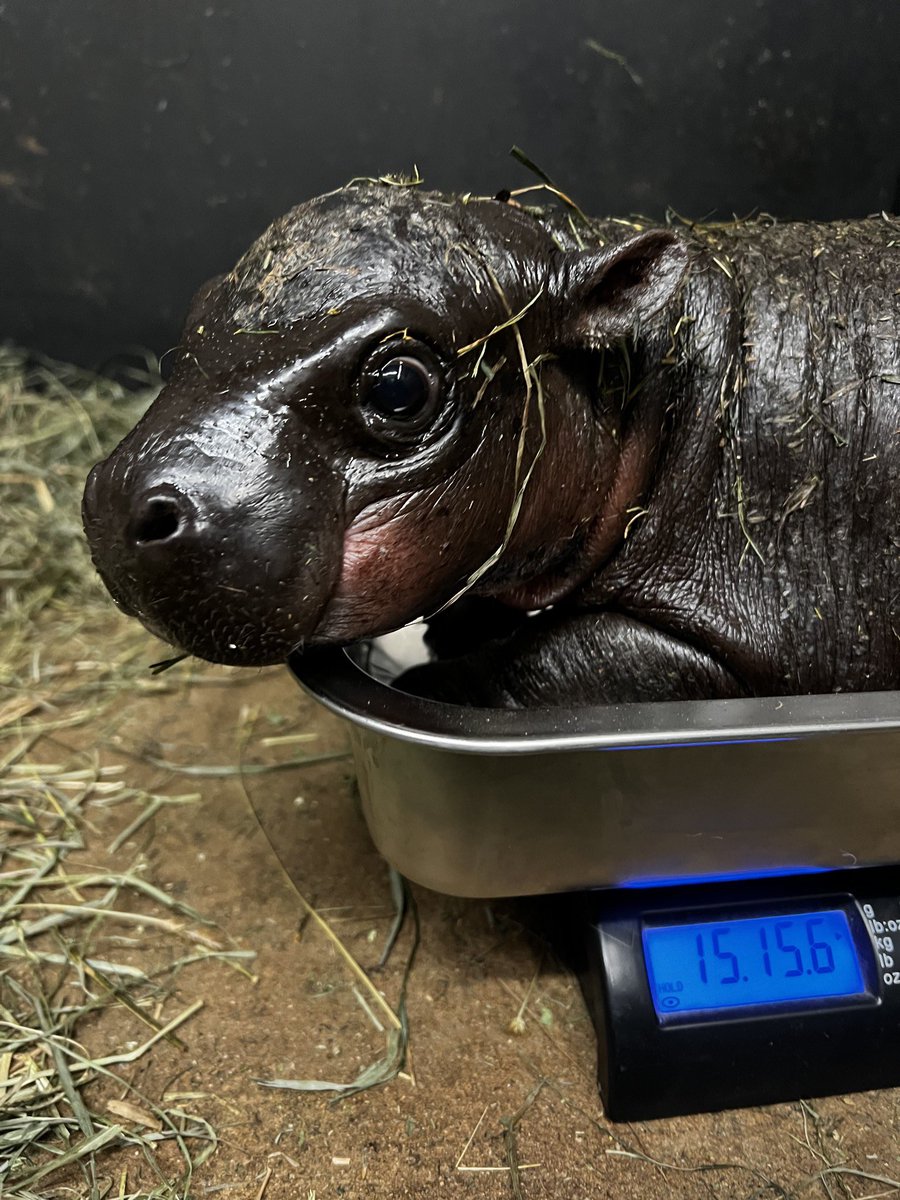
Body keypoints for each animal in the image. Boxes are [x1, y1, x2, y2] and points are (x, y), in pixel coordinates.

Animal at [82, 182, 900, 707]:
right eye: (199, 308)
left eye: (399, 387)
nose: (119, 498)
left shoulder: (733, 632)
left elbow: (556, 661)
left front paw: (423, 678)